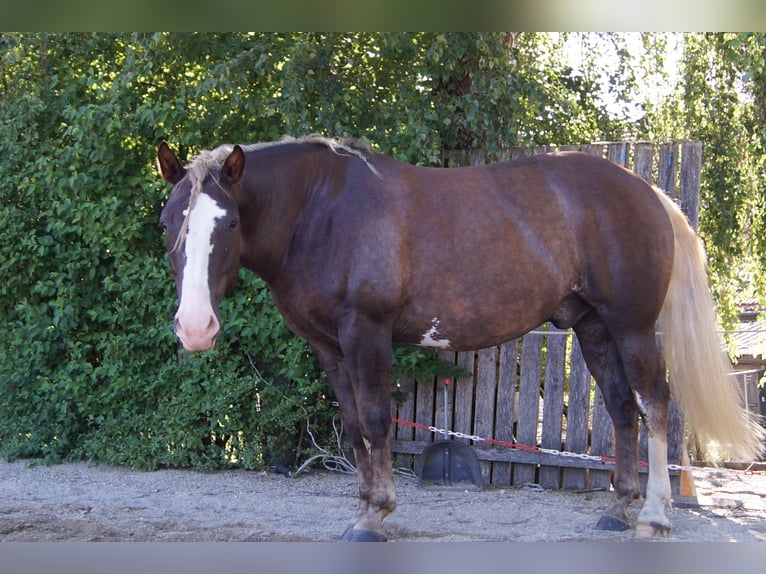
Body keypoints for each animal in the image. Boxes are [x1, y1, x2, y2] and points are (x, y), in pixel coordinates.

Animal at [157, 135, 764, 541]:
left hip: (631, 327)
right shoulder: (329, 347)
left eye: (230, 223)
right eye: (167, 222)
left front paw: (376, 515)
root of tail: (648, 193)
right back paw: (618, 511)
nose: (195, 327)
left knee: (654, 403)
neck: (321, 210)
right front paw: (361, 507)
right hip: (592, 327)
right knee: (620, 408)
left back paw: (655, 516)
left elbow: (374, 421)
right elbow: (352, 426)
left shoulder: (366, 335)